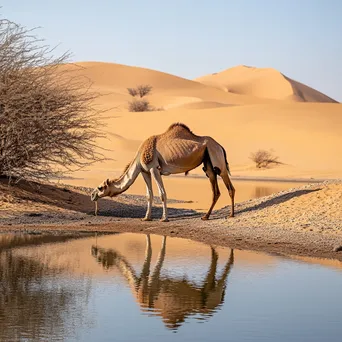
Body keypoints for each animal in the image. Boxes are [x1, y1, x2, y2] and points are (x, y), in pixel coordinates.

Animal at [91, 123, 235, 222]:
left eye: (100, 187)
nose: (92, 195)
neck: (139, 156)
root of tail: (220, 146)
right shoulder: (145, 171)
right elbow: (149, 195)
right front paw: (146, 218)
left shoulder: (154, 169)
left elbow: (162, 194)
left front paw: (164, 218)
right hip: (208, 163)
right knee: (215, 190)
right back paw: (206, 216)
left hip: (217, 159)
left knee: (229, 186)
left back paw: (231, 214)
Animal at [91, 234, 235, 330]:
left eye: (101, 260)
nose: (93, 250)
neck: (137, 289)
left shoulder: (152, 282)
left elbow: (156, 256)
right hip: (208, 289)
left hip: (213, 292)